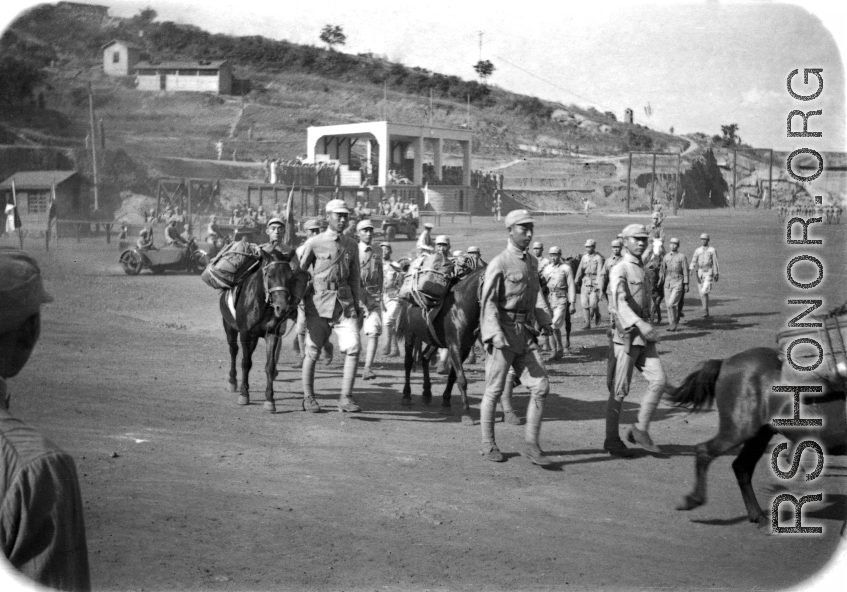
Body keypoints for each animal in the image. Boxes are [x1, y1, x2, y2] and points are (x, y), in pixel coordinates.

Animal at [220, 250, 310, 412]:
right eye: (270, 275)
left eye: (290, 277)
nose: (282, 307)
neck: (261, 303)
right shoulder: (245, 334)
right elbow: (246, 362)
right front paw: (244, 394)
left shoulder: (272, 334)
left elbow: (269, 365)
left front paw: (269, 400)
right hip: (229, 326)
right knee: (234, 351)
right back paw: (232, 381)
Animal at [396, 264, 486, 426]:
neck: (462, 307)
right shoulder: (454, 346)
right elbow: (462, 379)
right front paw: (466, 414)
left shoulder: (463, 349)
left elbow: (453, 376)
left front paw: (446, 403)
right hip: (410, 334)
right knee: (408, 362)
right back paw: (406, 395)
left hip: (433, 339)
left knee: (425, 357)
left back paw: (427, 393)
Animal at [664, 346, 844, 528]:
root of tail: (725, 362)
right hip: (740, 429)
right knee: (705, 451)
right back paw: (693, 500)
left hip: (760, 435)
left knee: (741, 466)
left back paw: (758, 516)